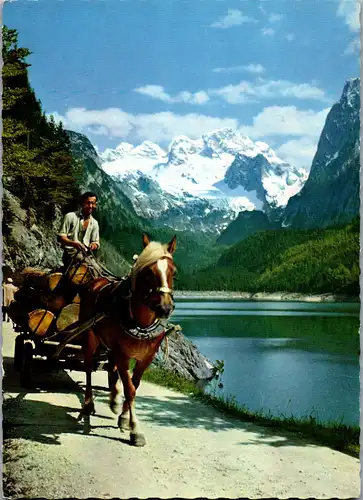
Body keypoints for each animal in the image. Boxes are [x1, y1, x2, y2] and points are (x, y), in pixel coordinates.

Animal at [79, 232, 178, 448]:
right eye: (148, 272)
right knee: (89, 367)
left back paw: (114, 400)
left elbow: (134, 384)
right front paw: (135, 429)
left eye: (173, 272)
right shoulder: (123, 356)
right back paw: (88, 403)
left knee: (111, 368)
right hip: (90, 337)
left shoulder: (146, 358)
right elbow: (130, 389)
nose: (165, 309)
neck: (141, 323)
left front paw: (124, 418)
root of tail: (97, 281)